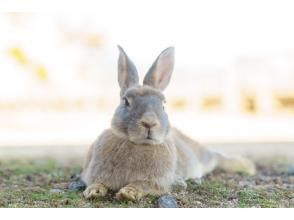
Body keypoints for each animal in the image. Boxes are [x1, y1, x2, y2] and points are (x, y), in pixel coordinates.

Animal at [80, 46, 255, 201]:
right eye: (126, 101)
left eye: (163, 104)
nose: (149, 123)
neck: (140, 144)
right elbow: (98, 182)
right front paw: (93, 191)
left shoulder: (156, 181)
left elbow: (141, 184)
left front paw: (128, 193)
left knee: (218, 157)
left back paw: (246, 167)